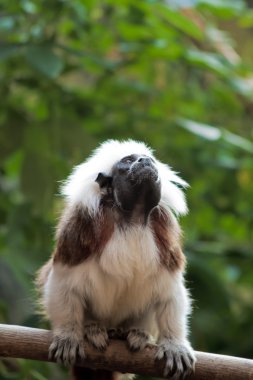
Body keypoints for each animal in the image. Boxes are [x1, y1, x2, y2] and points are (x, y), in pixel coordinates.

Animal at [36, 140, 196, 380]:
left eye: (150, 160)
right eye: (129, 160)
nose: (145, 161)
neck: (133, 218)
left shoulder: (164, 233)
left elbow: (170, 291)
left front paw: (174, 345)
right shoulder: (81, 226)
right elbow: (63, 280)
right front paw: (68, 335)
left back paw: (134, 332)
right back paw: (93, 329)